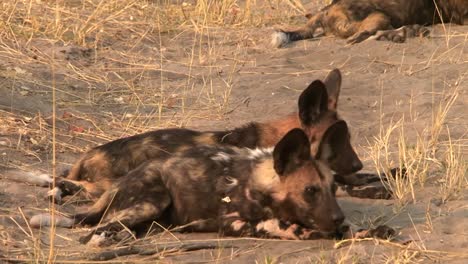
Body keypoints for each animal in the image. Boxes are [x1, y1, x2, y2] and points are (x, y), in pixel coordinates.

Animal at [31, 128, 352, 245]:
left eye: (334, 188)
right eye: (310, 191)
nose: (339, 218)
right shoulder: (238, 223)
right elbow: (289, 227)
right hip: (151, 201)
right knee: (94, 230)